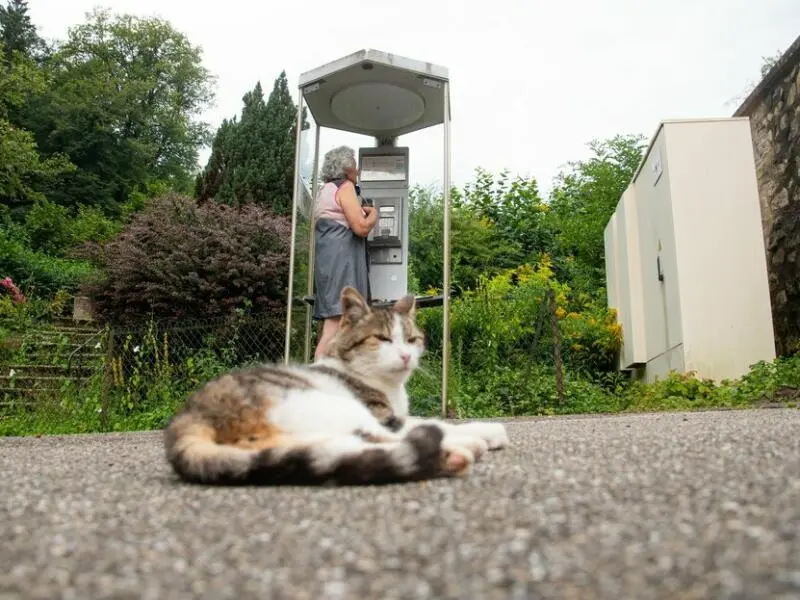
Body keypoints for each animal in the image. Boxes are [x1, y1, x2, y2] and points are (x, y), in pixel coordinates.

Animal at [165, 286, 510, 488]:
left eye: (412, 339)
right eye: (382, 339)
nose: (406, 356)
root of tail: (187, 417)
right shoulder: (382, 413)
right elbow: (425, 421)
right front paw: (484, 430)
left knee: (338, 450)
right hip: (328, 403)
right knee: (383, 437)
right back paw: (462, 447)